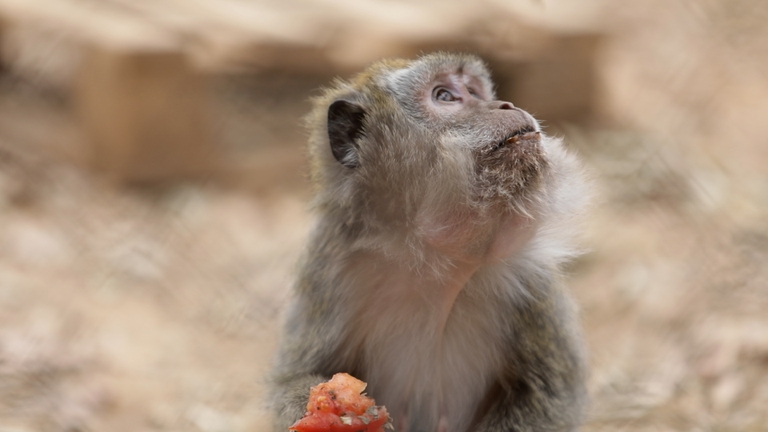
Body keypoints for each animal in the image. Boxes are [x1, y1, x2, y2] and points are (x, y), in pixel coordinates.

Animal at [270, 52, 589, 432]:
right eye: (446, 96)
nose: (506, 105)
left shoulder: (530, 274)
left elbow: (551, 392)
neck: (429, 255)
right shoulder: (332, 264)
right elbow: (294, 378)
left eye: (475, 92)